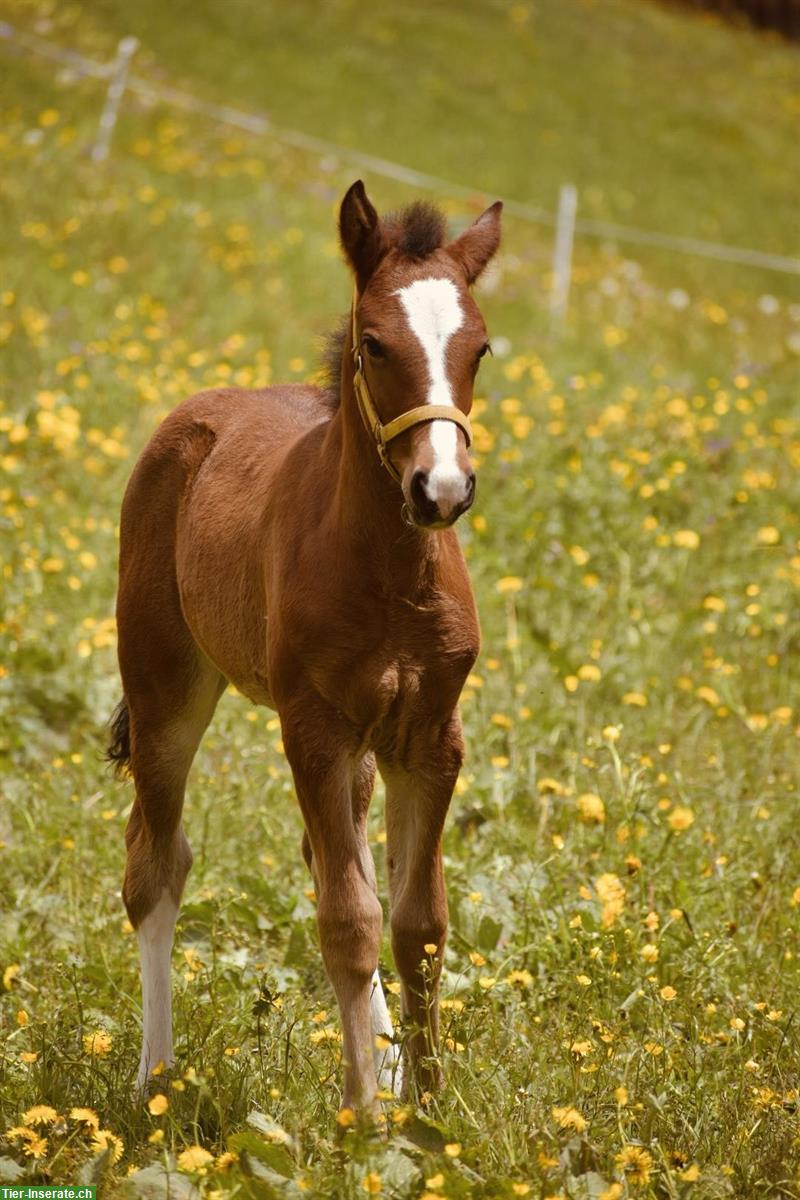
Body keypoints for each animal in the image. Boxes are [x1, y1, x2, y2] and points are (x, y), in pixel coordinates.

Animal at [109, 180, 503, 1113]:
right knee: (156, 865)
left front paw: (428, 1110)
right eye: (374, 343)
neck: (388, 572)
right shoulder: (314, 730)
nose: (441, 489)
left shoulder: (430, 737)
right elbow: (350, 919)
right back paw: (155, 1078)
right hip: (165, 690)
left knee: (335, 859)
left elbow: (417, 925)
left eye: (480, 347)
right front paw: (362, 1117)